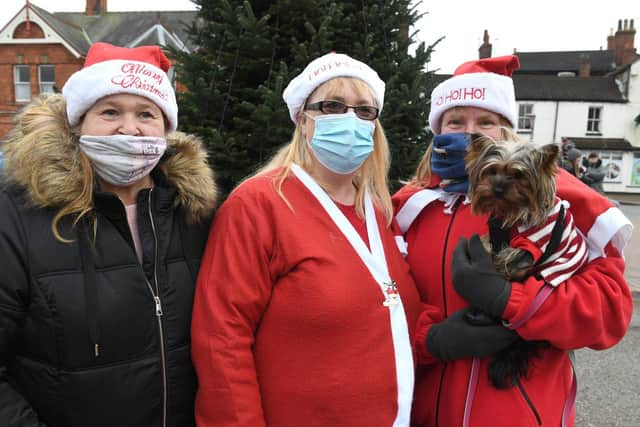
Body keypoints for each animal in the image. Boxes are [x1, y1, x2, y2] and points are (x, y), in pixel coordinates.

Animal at [462, 135, 588, 392]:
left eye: (518, 175)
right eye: (492, 171)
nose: (498, 188)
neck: (514, 212)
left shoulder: (532, 248)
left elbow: (508, 259)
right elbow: (490, 244)